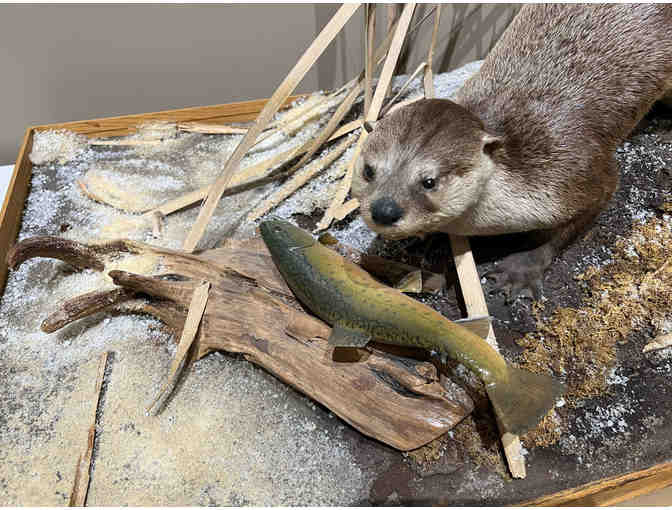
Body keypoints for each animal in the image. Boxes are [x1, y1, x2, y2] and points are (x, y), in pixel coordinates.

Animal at [351, 4, 672, 300]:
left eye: (429, 181)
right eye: (368, 170)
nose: (384, 210)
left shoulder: (576, 173)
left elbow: (573, 221)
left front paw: (522, 270)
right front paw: (422, 242)